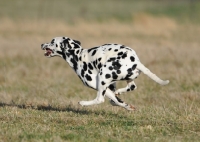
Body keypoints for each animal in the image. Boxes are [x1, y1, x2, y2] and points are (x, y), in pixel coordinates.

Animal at [40, 37, 169, 110]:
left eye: (52, 42)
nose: (41, 44)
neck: (78, 55)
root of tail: (136, 61)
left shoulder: (98, 85)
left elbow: (110, 99)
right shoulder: (110, 86)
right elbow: (116, 100)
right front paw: (127, 106)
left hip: (103, 77)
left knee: (100, 99)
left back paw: (83, 103)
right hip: (125, 78)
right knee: (132, 86)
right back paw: (119, 92)